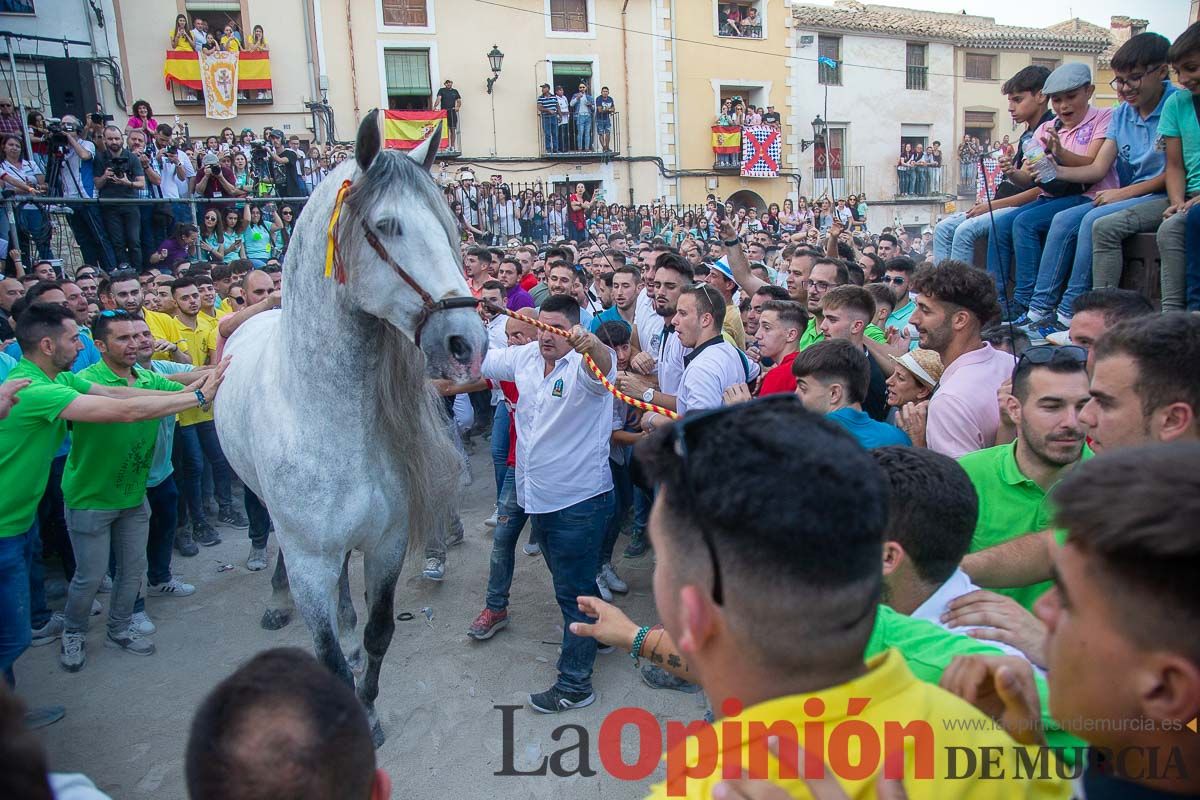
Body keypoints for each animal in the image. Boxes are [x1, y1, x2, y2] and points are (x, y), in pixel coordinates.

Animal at [216, 112, 482, 743]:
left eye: (447, 225)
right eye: (387, 225)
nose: (468, 339)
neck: (328, 419)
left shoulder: (385, 545)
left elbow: (379, 632)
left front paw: (370, 703)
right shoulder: (310, 556)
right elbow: (327, 657)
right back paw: (276, 600)